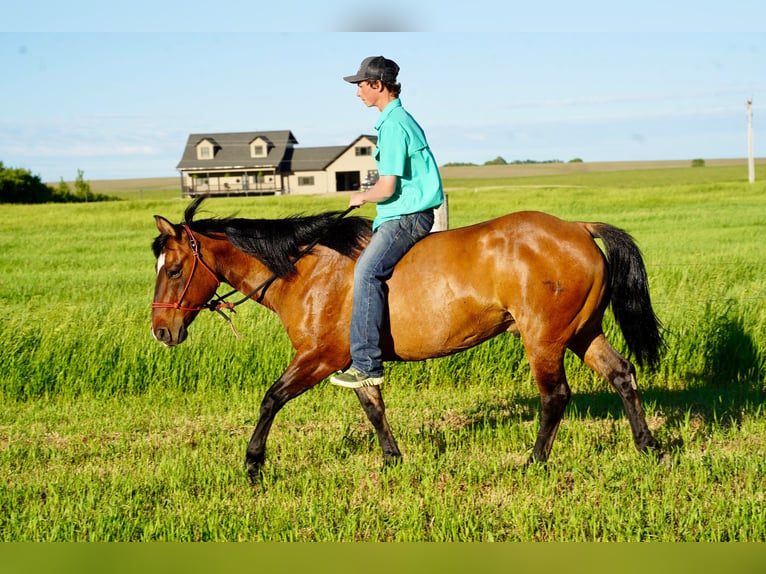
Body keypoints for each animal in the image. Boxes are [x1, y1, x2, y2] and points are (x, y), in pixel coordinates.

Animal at [152, 198, 664, 482]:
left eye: (174, 269)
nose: (161, 331)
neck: (305, 270)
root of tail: (578, 228)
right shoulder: (351, 362)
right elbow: (373, 406)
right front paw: (392, 459)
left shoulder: (319, 357)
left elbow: (271, 399)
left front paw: (253, 463)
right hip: (582, 331)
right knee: (622, 374)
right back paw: (649, 446)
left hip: (544, 339)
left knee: (555, 395)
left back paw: (534, 461)